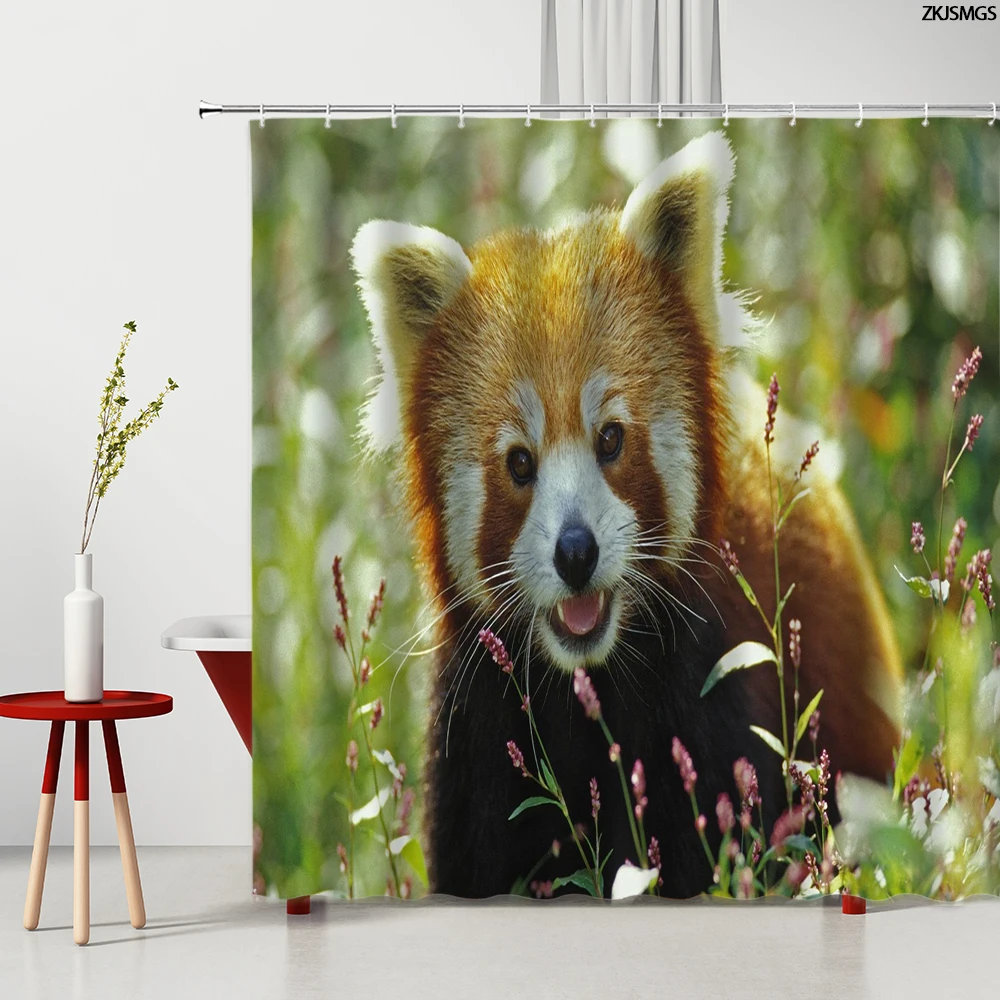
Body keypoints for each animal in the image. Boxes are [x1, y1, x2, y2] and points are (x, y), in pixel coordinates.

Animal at [350, 130, 902, 899]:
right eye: (519, 463)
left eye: (610, 438)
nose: (575, 552)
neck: (588, 686)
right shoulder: (480, 731)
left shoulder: (705, 694)